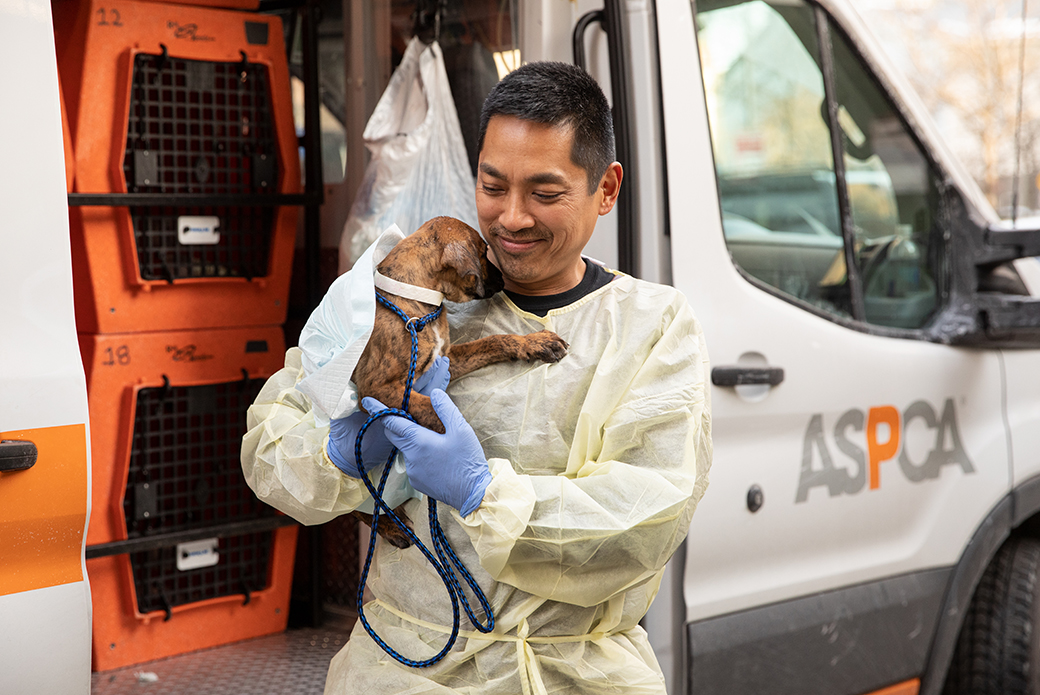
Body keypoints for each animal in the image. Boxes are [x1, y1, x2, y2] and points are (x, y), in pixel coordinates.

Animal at [349, 214, 569, 545]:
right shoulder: (375, 388)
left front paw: (533, 342)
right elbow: (431, 409)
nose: (502, 279)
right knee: (358, 509)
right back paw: (391, 525)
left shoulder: (450, 358)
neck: (417, 303)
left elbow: (494, 340)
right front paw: (455, 453)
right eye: (483, 251)